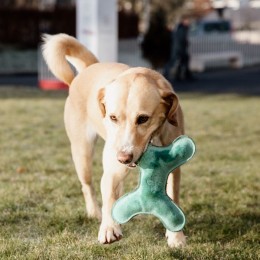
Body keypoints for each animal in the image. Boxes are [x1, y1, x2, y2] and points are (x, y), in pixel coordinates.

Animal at [42, 33, 185, 247]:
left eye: (143, 118)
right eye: (113, 117)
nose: (124, 157)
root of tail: (89, 67)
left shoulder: (174, 169)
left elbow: (173, 196)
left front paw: (176, 237)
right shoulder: (112, 169)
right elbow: (108, 196)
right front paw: (109, 228)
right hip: (83, 153)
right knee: (88, 186)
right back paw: (94, 212)